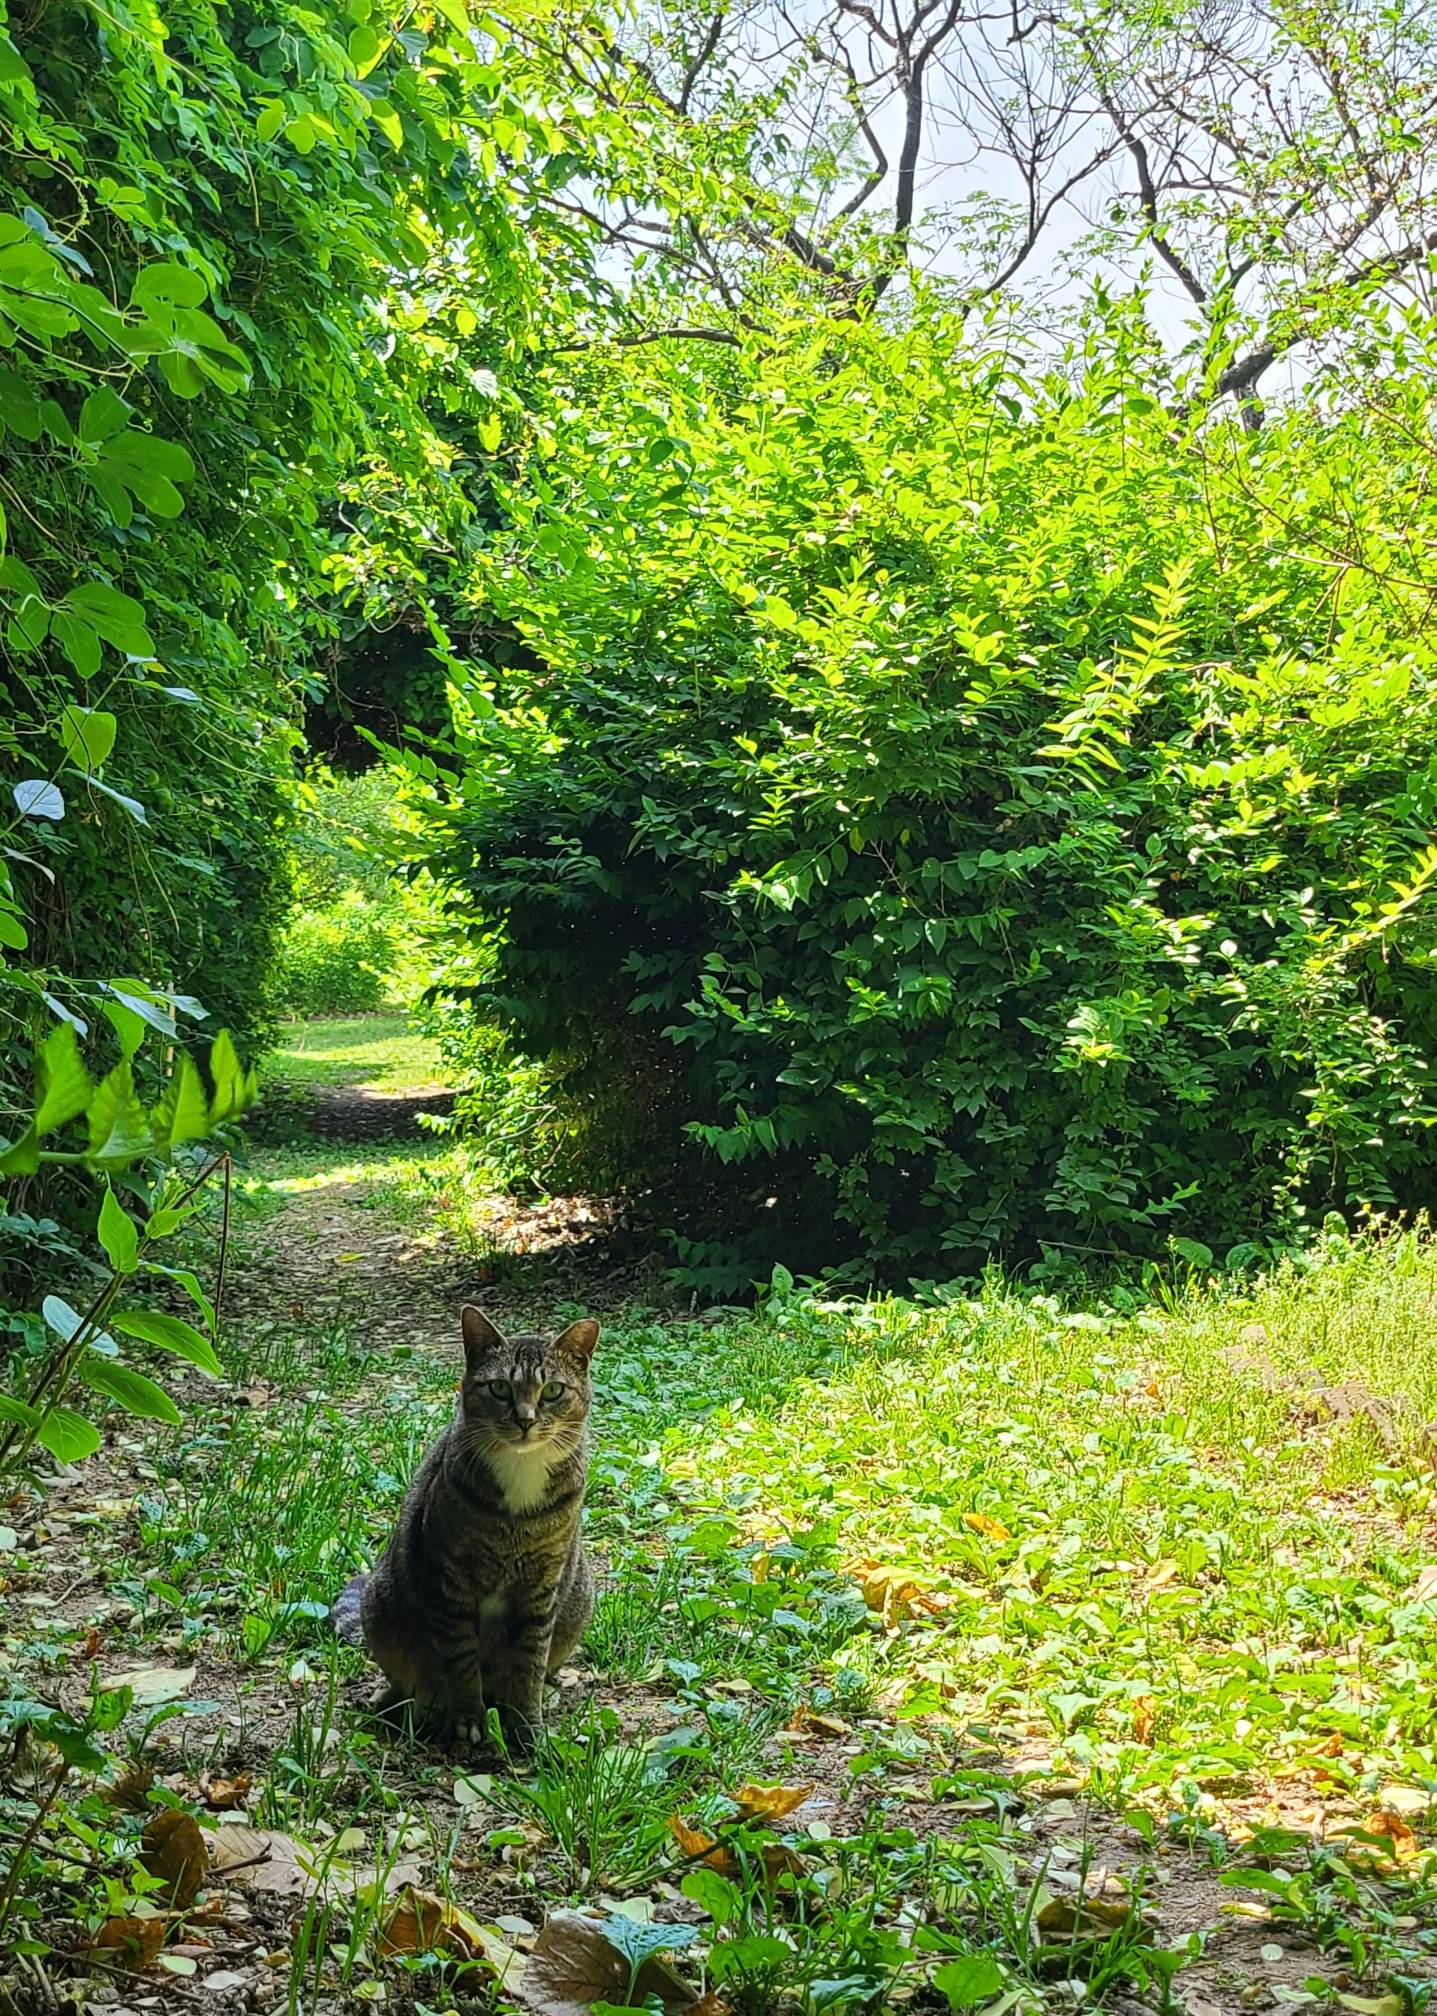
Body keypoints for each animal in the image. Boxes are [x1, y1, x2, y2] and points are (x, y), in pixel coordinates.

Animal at [332, 1306, 596, 1749]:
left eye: (553, 1391)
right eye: (500, 1389)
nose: (525, 1420)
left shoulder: (543, 1585)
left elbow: (530, 1661)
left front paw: (527, 1725)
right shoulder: (451, 1580)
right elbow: (460, 1659)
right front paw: (468, 1718)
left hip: (579, 1597)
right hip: (382, 1605)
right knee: (409, 1676)